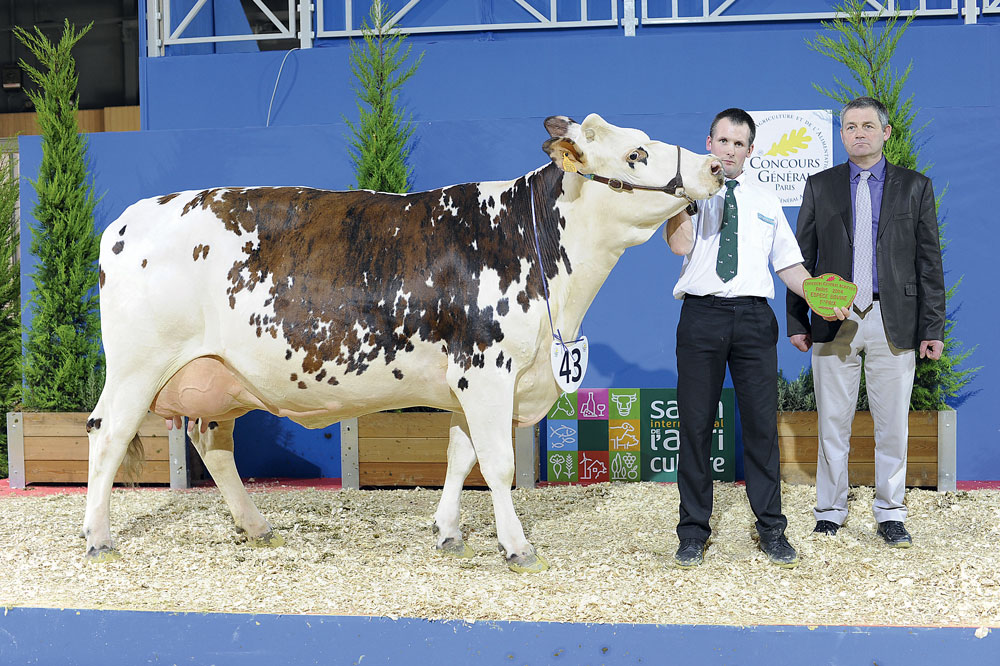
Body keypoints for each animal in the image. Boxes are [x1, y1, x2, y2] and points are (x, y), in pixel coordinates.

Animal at [82, 114, 724, 572]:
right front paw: (517, 548)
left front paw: (448, 533)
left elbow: (461, 457)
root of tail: (127, 220)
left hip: (217, 375)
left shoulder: (467, 380)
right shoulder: (487, 368)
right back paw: (98, 537)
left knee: (212, 443)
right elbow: (496, 463)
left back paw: (257, 527)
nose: (718, 166)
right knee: (107, 434)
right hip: (137, 365)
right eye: (637, 153)